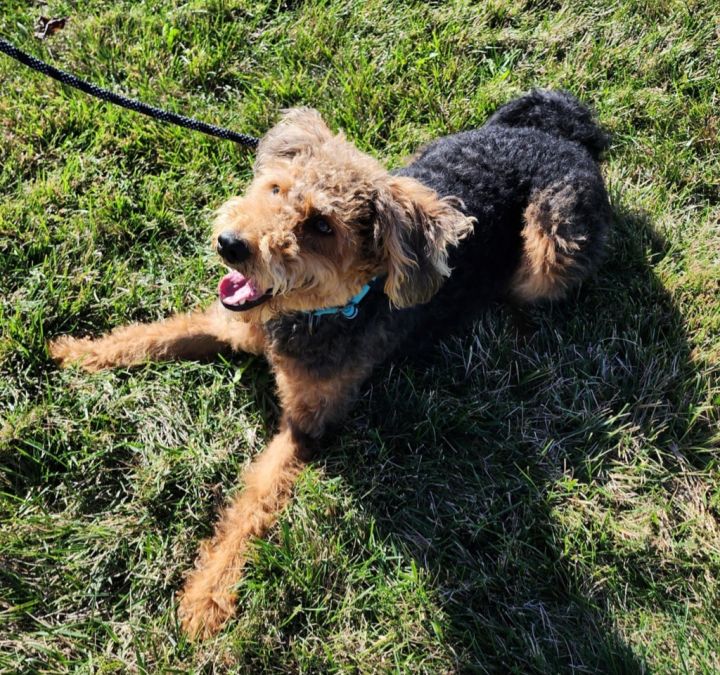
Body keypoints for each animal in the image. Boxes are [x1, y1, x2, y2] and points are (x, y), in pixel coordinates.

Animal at [50, 90, 612, 640]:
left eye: (321, 225)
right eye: (275, 188)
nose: (231, 245)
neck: (308, 317)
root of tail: (561, 135)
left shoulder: (307, 423)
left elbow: (251, 507)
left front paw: (207, 597)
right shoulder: (227, 325)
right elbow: (150, 336)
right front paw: (72, 353)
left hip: (548, 254)